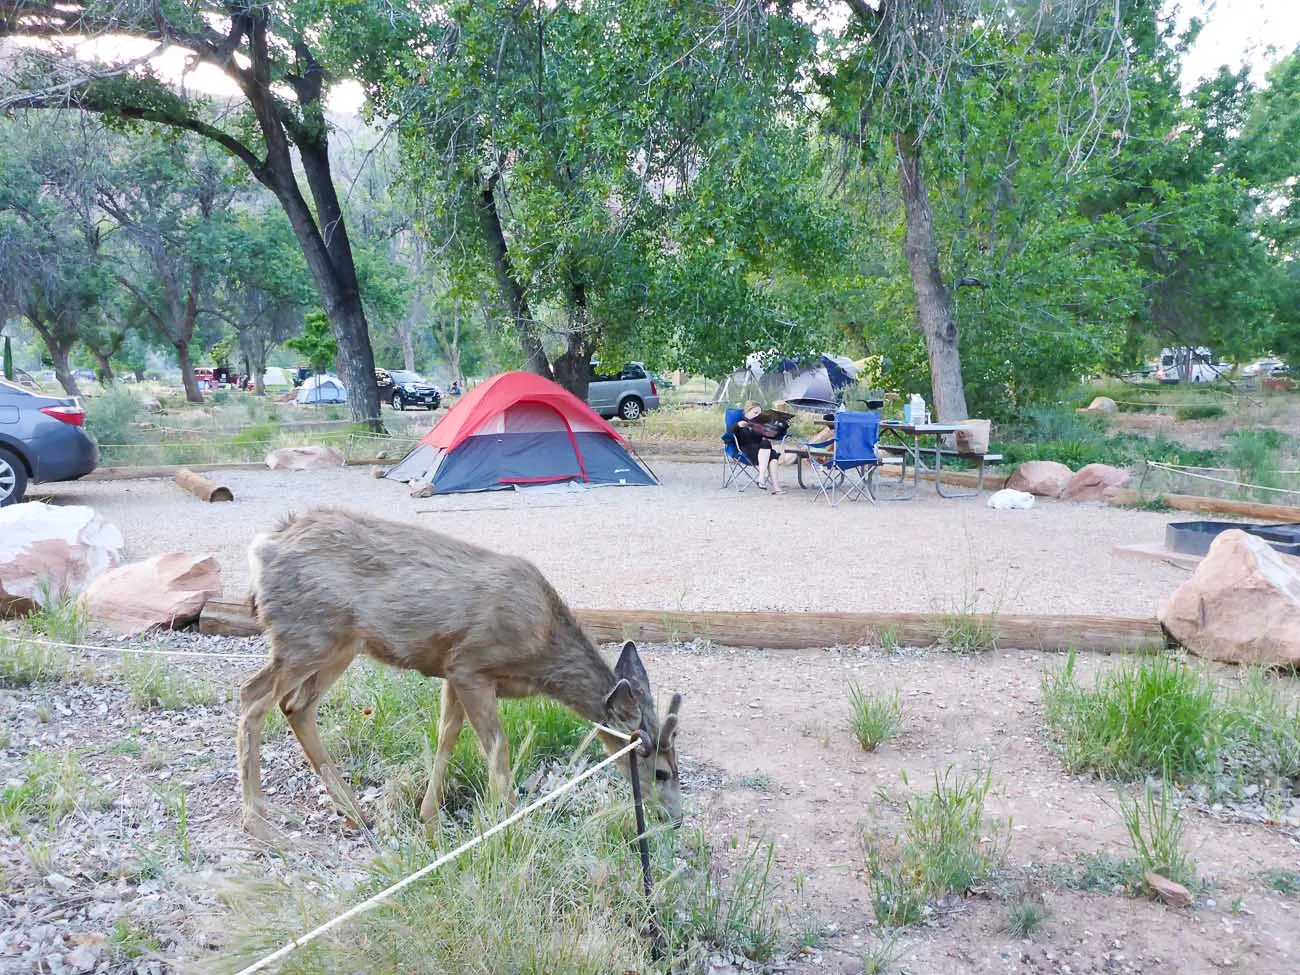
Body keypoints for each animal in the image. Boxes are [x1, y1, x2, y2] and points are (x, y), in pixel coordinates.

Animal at [236, 512, 681, 847]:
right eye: (661, 771)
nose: (675, 818)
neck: (542, 649)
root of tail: (261, 549)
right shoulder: (471, 664)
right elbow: (498, 749)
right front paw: (511, 824)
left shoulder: (452, 670)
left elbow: (446, 738)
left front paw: (429, 819)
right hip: (307, 635)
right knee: (252, 696)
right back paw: (260, 824)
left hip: (339, 644)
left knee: (296, 706)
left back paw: (356, 812)